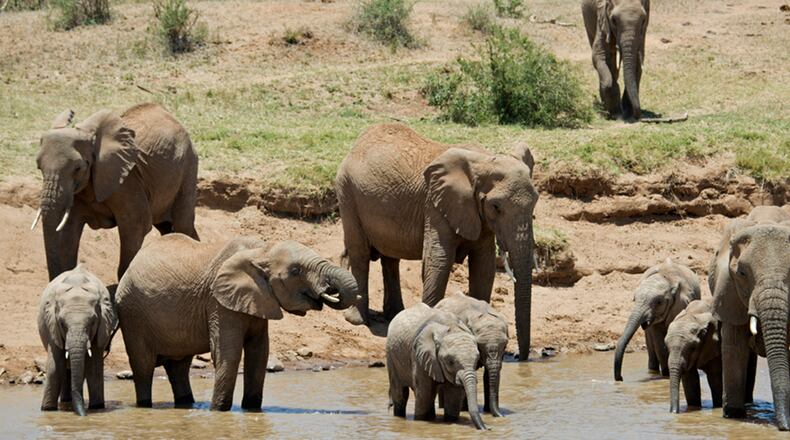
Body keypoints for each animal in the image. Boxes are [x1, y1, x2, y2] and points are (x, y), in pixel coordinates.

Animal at [32, 103, 199, 282]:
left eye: (78, 168)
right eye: (39, 167)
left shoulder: (127, 182)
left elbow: (136, 226)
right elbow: (69, 231)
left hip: (188, 165)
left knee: (182, 224)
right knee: (168, 227)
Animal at [38, 266, 116, 416]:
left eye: (92, 322)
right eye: (62, 323)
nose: (83, 415)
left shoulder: (102, 327)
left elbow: (93, 369)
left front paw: (97, 407)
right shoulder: (52, 327)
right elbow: (55, 367)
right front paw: (47, 410)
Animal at [116, 234, 359, 410]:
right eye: (295, 271)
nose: (330, 290)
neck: (262, 251)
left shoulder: (258, 299)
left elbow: (259, 354)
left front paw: (251, 410)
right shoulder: (218, 302)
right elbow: (229, 354)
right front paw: (218, 411)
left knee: (179, 367)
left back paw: (186, 405)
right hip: (133, 314)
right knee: (144, 365)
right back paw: (145, 405)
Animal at [336, 123, 538, 359]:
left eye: (535, 201)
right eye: (496, 206)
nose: (519, 357)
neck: (483, 160)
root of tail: (355, 146)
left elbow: (483, 268)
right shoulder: (435, 205)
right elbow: (439, 262)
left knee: (390, 258)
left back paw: (394, 315)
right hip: (347, 192)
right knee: (359, 253)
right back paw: (357, 320)